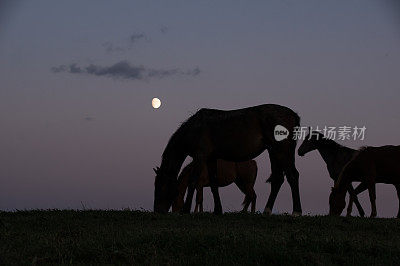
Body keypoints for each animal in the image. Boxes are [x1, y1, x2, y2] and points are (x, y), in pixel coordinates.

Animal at [155, 103, 302, 215]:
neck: (195, 129)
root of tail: (292, 114)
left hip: (282, 151)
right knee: (278, 179)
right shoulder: (211, 159)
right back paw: (267, 211)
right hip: (274, 152)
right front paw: (217, 210)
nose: (158, 211)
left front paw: (186, 210)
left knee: (292, 176)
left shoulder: (200, 157)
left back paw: (296, 211)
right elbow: (214, 183)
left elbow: (192, 181)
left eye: (161, 186)